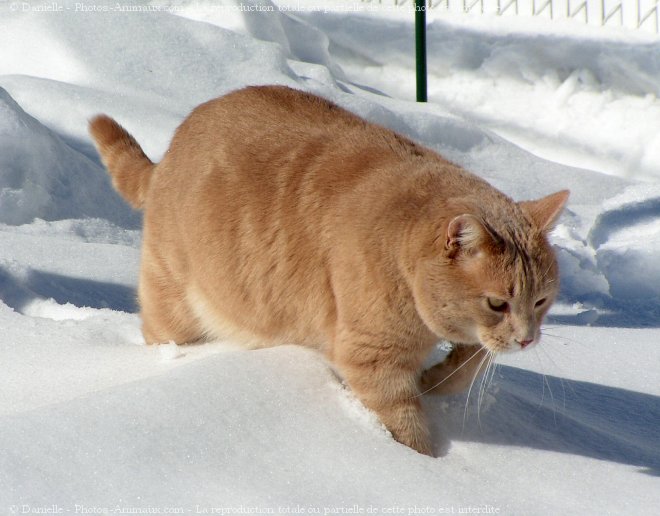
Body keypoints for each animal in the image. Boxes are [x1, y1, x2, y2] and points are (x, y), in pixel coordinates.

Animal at [90, 85, 568, 456]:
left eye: (542, 301)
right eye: (497, 303)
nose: (528, 339)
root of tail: (169, 153)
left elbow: (467, 365)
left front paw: (437, 378)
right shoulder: (372, 358)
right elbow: (407, 428)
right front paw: (424, 467)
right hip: (175, 304)